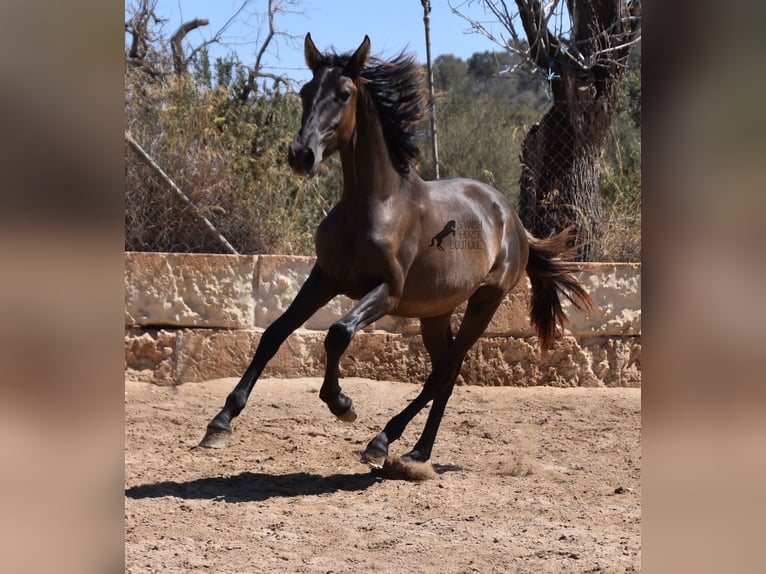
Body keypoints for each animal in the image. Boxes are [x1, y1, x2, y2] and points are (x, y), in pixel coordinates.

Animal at [200, 35, 592, 468]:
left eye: (344, 94)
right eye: (305, 91)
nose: (302, 155)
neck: (373, 205)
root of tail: (515, 223)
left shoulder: (388, 291)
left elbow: (338, 333)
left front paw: (342, 404)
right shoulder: (324, 278)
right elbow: (274, 333)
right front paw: (220, 423)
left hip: (485, 302)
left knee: (443, 372)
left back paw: (383, 441)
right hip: (435, 312)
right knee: (446, 374)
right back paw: (418, 452)